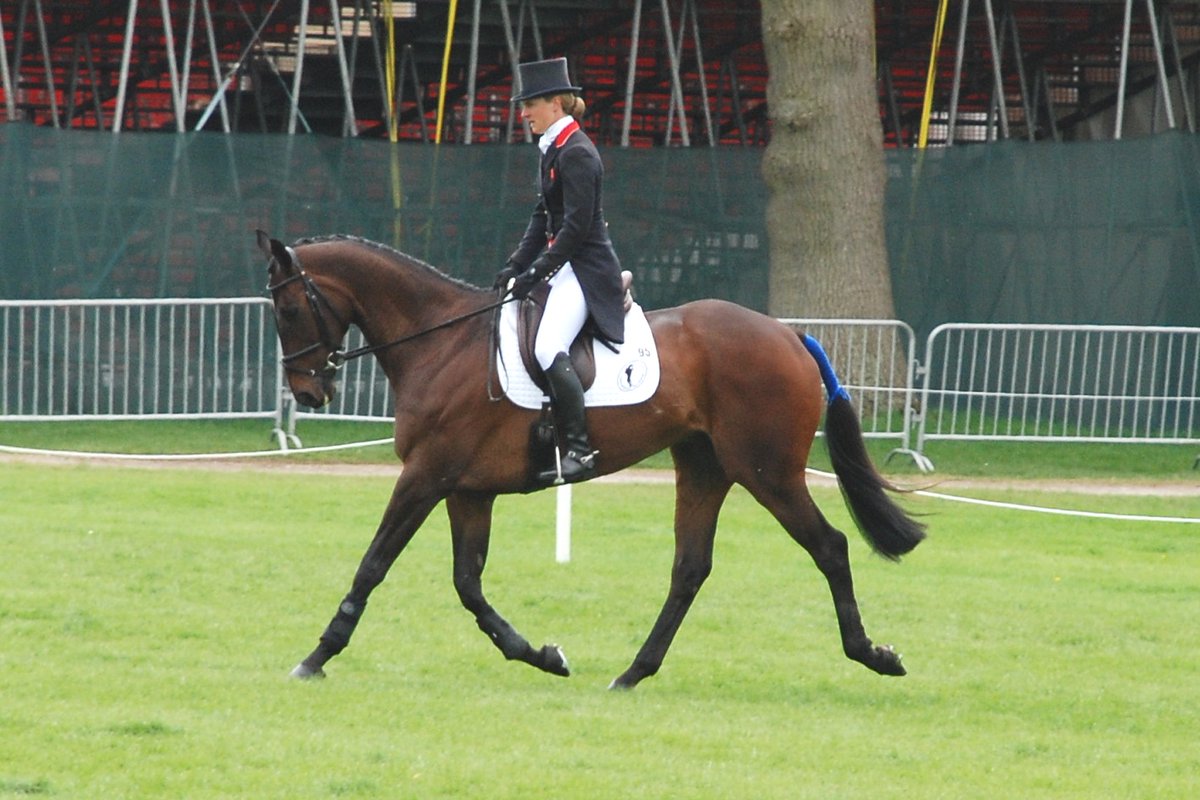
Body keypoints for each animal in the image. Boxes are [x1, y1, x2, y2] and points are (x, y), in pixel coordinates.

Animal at [257, 231, 925, 689]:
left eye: (287, 311)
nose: (309, 393)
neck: (440, 341)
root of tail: (789, 333)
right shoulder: (467, 490)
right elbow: (469, 585)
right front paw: (541, 655)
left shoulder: (426, 476)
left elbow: (373, 566)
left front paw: (316, 656)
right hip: (704, 466)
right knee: (690, 568)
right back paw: (633, 673)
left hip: (768, 472)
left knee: (829, 546)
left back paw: (874, 655)